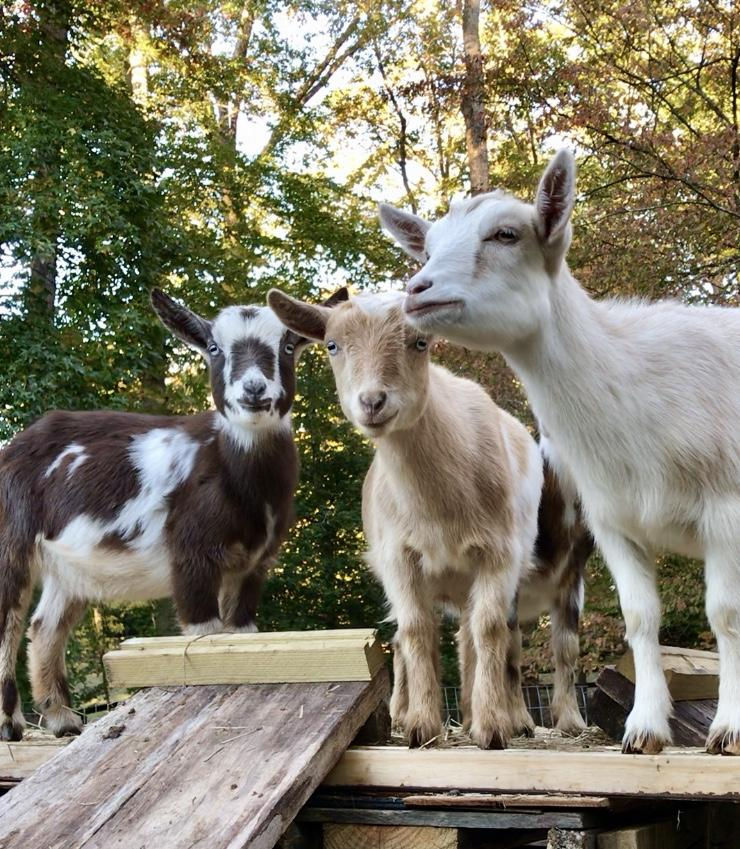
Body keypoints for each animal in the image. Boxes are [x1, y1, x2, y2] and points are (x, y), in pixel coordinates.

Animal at [0, 288, 346, 740]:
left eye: (288, 346)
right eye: (214, 348)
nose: (254, 389)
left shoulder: (253, 566)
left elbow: (239, 634)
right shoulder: (191, 557)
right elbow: (204, 634)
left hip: (69, 568)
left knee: (45, 626)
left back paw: (62, 720)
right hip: (11, 541)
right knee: (9, 621)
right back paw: (11, 725)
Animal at [269, 287, 590, 747]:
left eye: (420, 342)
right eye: (332, 345)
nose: (373, 402)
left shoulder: (503, 555)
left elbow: (493, 631)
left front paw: (494, 727)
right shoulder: (398, 557)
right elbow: (417, 630)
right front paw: (422, 725)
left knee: (472, 635)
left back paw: (475, 716)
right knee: (406, 638)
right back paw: (407, 715)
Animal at [379, 150, 740, 755]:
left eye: (505, 233)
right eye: (427, 248)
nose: (418, 289)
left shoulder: (727, 511)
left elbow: (725, 615)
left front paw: (728, 730)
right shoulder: (614, 521)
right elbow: (639, 618)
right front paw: (643, 731)